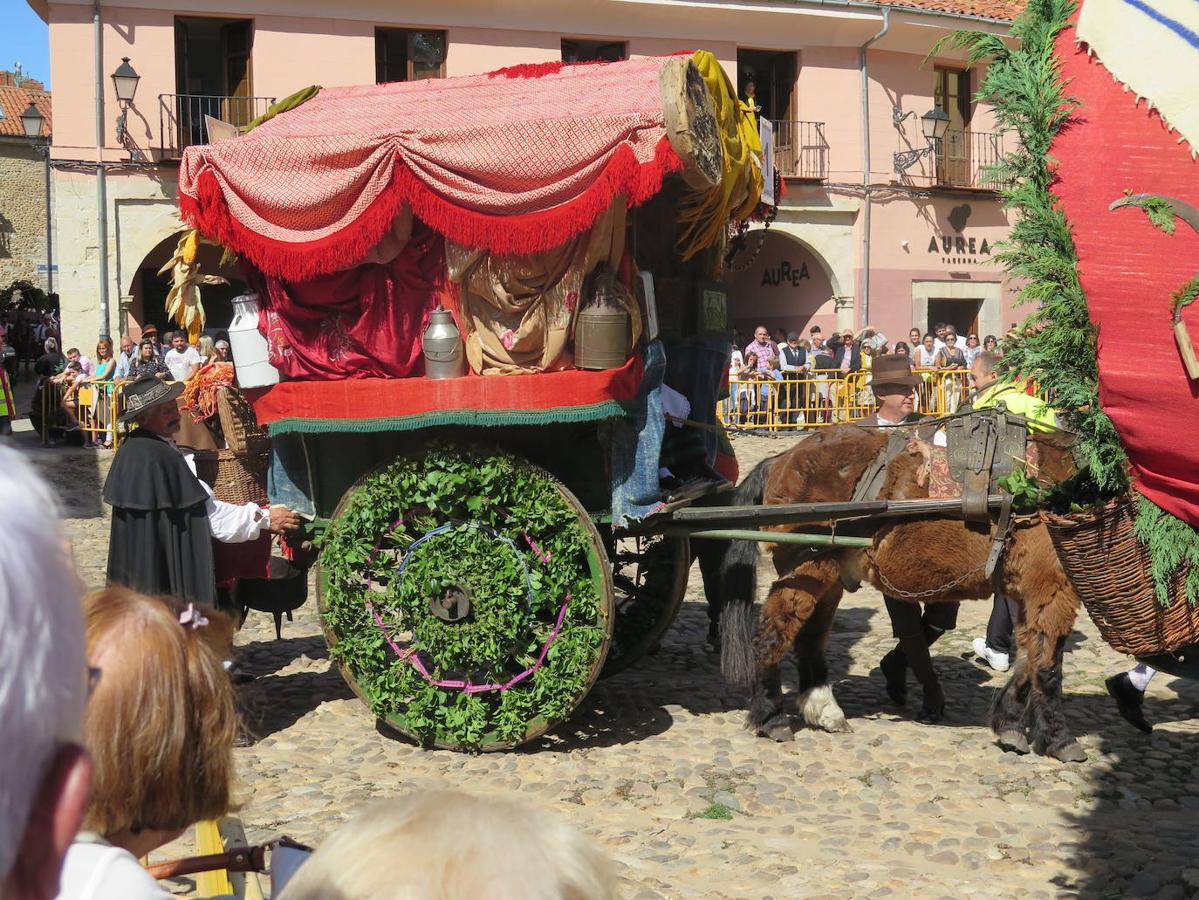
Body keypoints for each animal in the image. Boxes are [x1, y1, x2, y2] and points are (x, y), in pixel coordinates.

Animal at [714, 426, 1093, 762]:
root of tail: (783, 458)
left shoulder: (1032, 595)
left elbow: (1031, 659)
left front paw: (1011, 724)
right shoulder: (1053, 589)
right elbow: (1048, 666)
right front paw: (1059, 738)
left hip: (827, 577)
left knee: (809, 639)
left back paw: (825, 708)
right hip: (807, 566)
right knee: (772, 635)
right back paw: (770, 717)